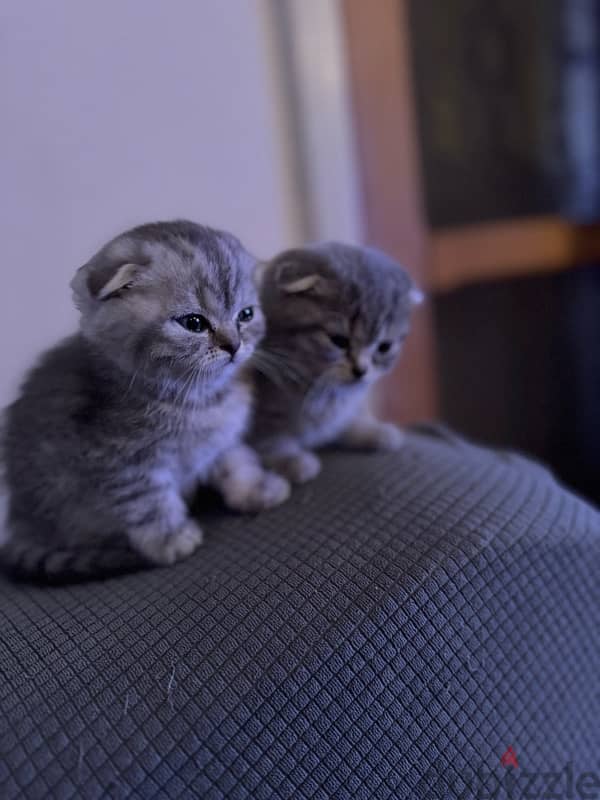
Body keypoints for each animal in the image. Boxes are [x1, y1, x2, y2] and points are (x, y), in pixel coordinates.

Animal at [0, 222, 290, 584]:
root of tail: (18, 521)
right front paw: (170, 539)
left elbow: (236, 460)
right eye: (194, 323)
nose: (235, 346)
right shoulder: (118, 458)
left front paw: (256, 488)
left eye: (246, 315)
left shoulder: (219, 440)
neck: (202, 398)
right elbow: (146, 500)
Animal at [248, 241, 422, 484]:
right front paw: (291, 460)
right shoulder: (260, 416)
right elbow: (268, 439)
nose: (360, 370)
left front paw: (371, 431)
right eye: (339, 341)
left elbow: (342, 424)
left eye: (384, 347)